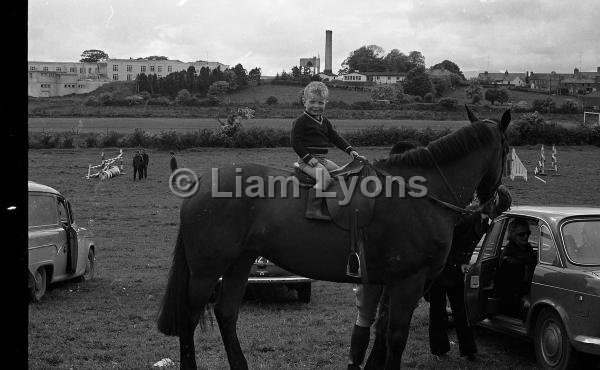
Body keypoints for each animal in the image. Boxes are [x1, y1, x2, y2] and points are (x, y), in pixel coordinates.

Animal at [157, 106, 508, 368]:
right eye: (507, 151)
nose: (499, 199)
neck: (418, 195)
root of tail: (200, 183)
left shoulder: (390, 282)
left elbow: (381, 333)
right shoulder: (409, 281)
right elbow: (396, 337)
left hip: (239, 264)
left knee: (226, 314)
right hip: (206, 270)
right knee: (189, 319)